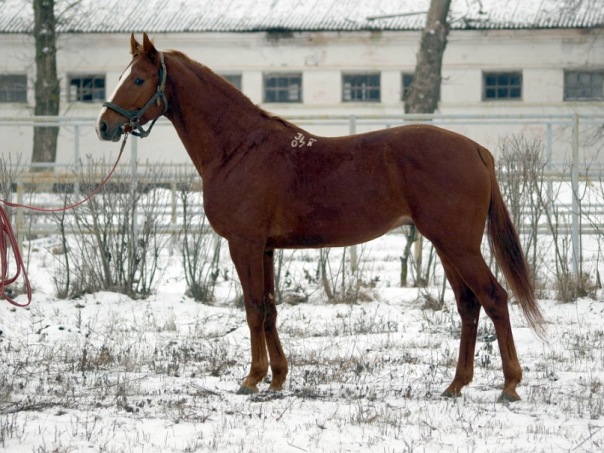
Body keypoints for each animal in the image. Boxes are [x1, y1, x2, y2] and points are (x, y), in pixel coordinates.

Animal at [98, 33, 544, 400]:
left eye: (138, 79)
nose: (105, 126)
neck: (239, 148)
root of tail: (476, 150)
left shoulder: (244, 244)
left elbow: (253, 307)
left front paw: (252, 379)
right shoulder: (266, 249)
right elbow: (270, 308)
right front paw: (277, 378)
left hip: (458, 245)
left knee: (494, 298)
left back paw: (509, 385)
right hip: (446, 245)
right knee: (468, 305)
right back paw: (455, 385)